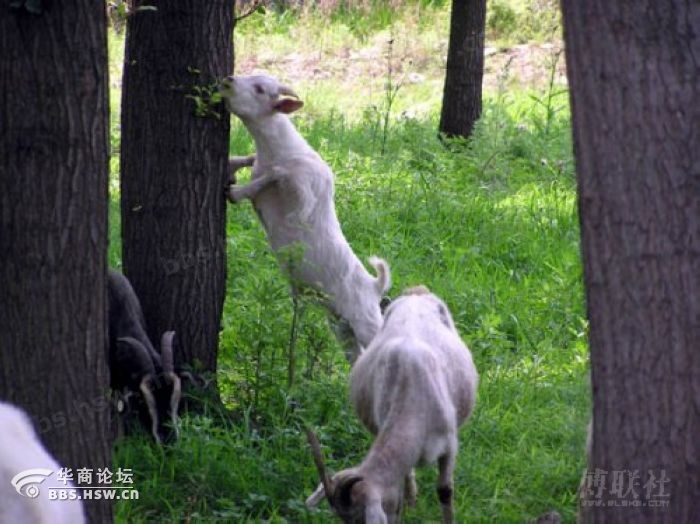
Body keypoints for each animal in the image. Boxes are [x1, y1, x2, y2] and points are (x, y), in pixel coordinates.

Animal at [221, 74, 392, 364]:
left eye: (260, 89)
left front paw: (236, 191)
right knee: (355, 355)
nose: (229, 80)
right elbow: (256, 172)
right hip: (340, 325)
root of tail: (374, 285)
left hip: (366, 323)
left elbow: (278, 176)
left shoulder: (303, 197)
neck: (277, 150)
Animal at [308, 286, 482, 524]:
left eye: (359, 518)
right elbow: (402, 484)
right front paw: (409, 504)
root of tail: (416, 292)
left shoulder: (449, 444)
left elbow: (445, 490)